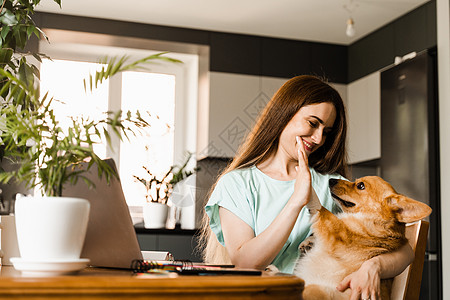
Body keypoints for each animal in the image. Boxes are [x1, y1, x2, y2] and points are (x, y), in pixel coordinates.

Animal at [296, 176, 432, 300]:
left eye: (360, 186)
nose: (331, 180)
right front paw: (308, 242)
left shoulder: (339, 232)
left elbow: (321, 210)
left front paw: (307, 187)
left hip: (315, 289)